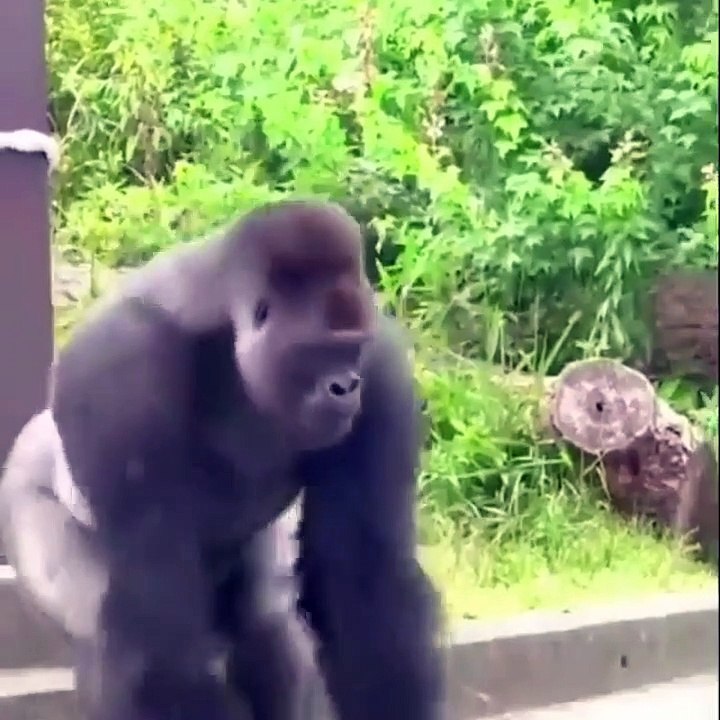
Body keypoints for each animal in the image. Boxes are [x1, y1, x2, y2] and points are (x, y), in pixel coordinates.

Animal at [0, 200, 445, 720]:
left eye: (352, 348)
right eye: (319, 350)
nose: (345, 386)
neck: (223, 328)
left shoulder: (381, 369)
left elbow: (365, 584)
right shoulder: (118, 377)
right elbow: (159, 642)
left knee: (263, 626)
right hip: (26, 500)